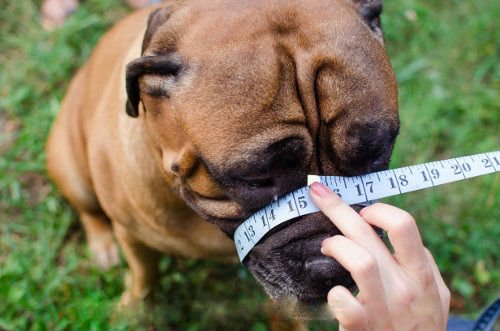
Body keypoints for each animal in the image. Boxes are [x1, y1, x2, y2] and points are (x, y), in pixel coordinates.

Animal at [46, 0, 398, 322]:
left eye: (376, 155)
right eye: (255, 179)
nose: (332, 269)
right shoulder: (133, 236)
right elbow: (145, 276)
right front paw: (135, 310)